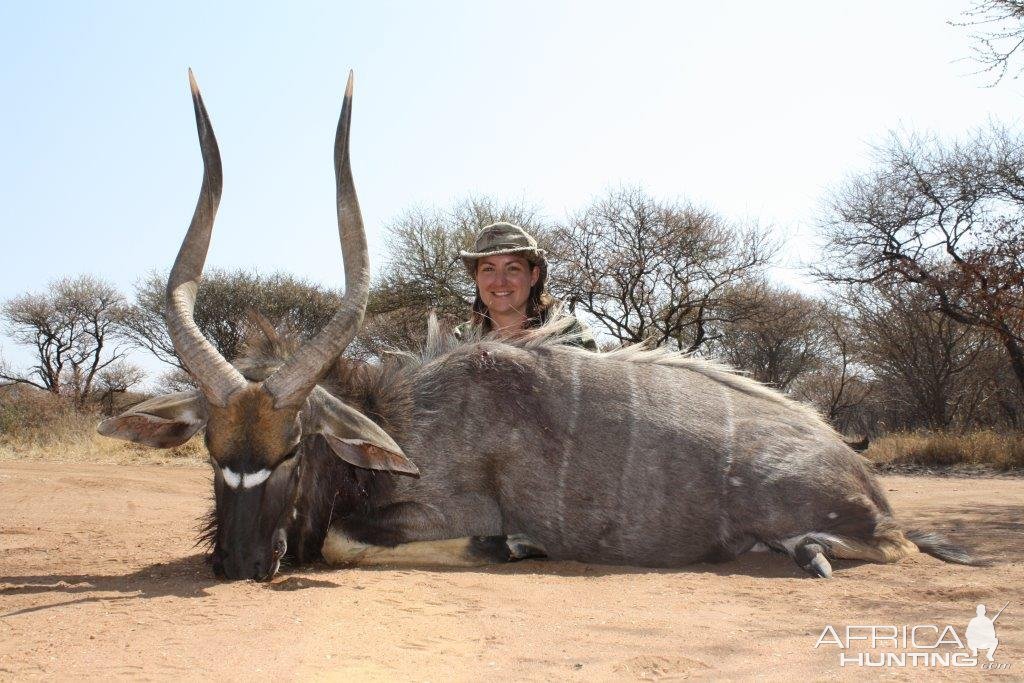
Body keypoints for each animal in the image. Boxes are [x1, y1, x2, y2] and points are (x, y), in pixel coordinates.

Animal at [97, 70, 983, 581]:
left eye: (293, 450)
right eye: (213, 453)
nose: (240, 563)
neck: (403, 418)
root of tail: (861, 474)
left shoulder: (434, 515)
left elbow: (359, 541)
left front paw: (517, 546)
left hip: (852, 527)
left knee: (894, 546)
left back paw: (811, 550)